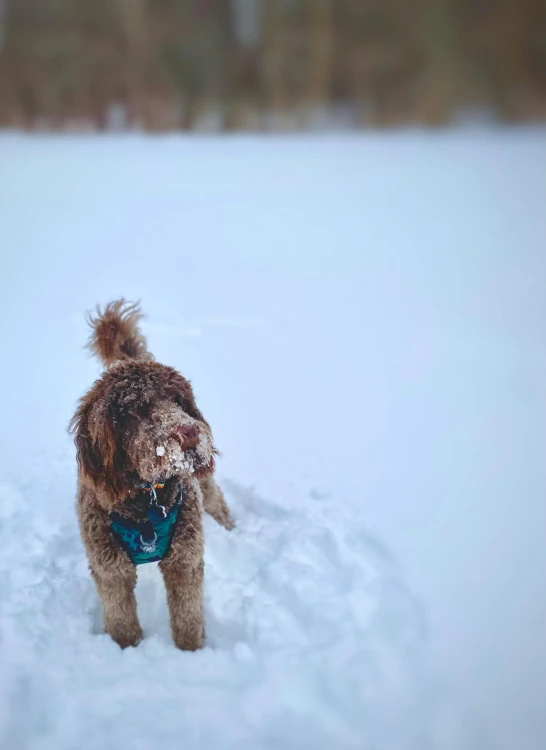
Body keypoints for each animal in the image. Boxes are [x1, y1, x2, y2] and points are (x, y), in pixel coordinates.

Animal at [68, 302, 232, 652]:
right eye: (136, 409)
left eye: (177, 400)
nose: (190, 431)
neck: (146, 500)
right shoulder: (110, 568)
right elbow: (121, 621)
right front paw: (126, 650)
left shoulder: (185, 559)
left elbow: (188, 618)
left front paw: (190, 653)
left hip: (204, 486)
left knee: (216, 499)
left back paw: (230, 527)